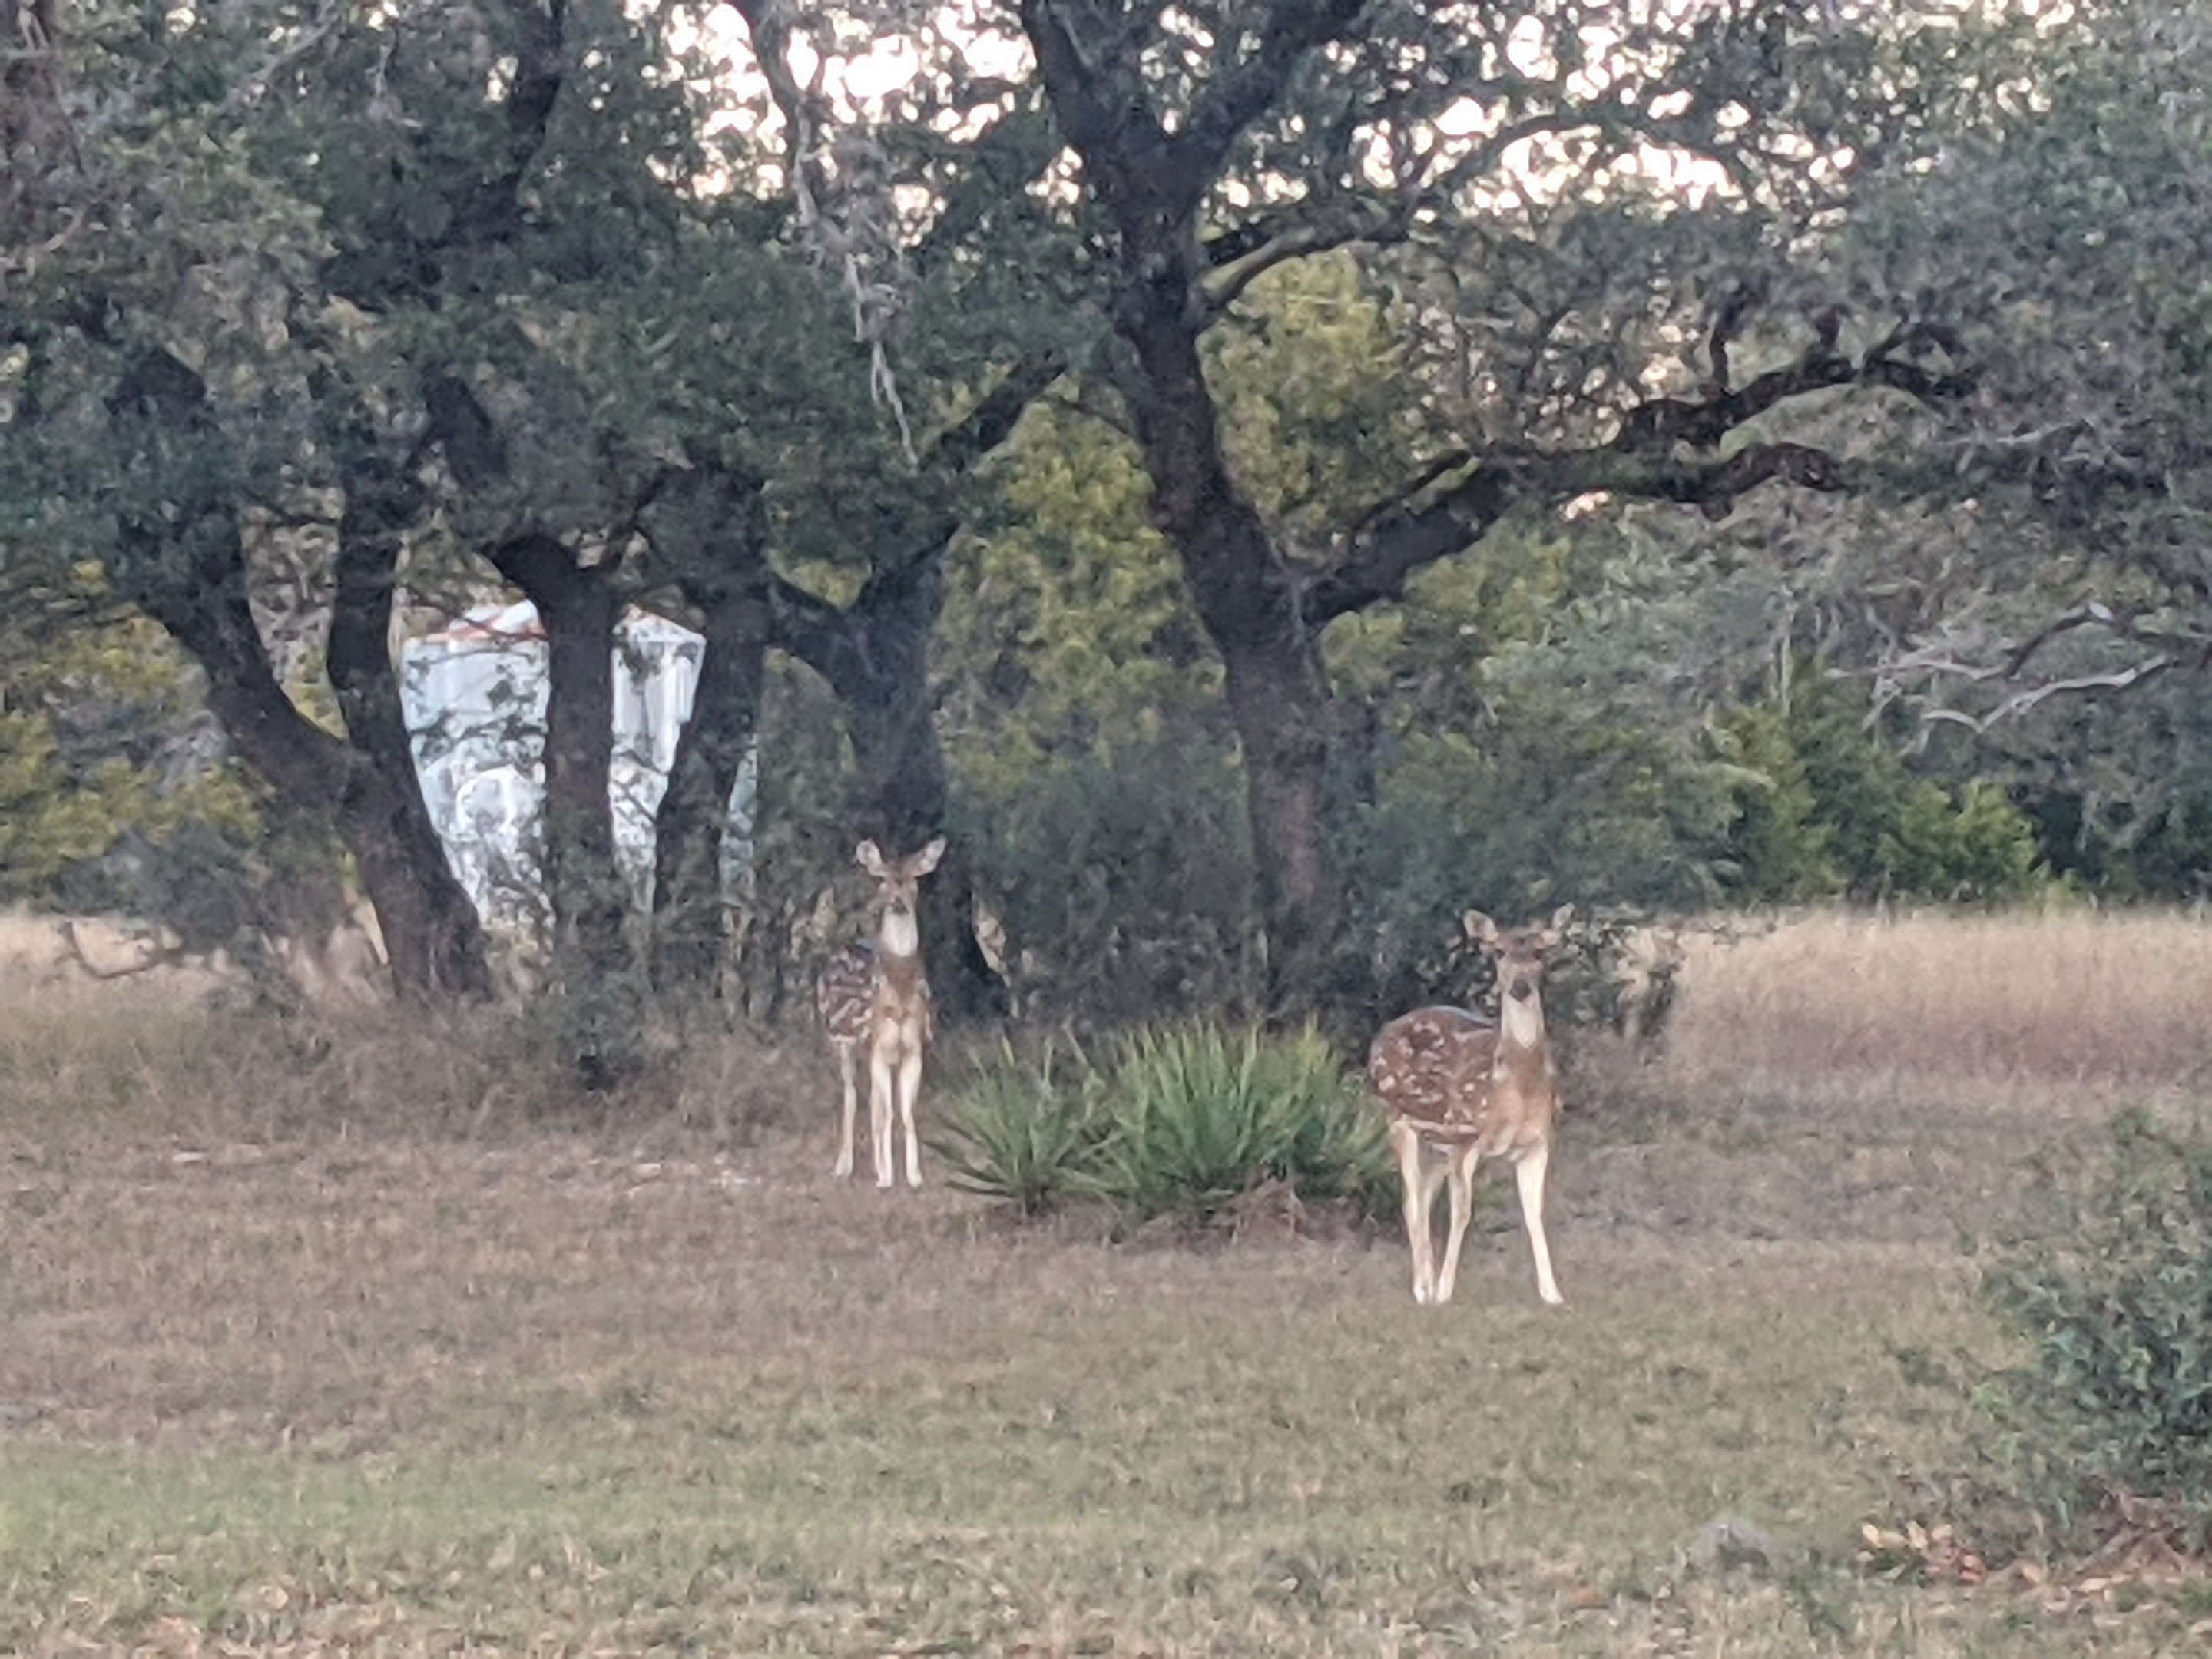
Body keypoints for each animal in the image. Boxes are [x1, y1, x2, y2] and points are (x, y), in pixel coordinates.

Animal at [815, 837, 946, 1188]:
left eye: (914, 880)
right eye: (883, 880)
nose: (897, 901)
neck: (898, 994)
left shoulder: (913, 1049)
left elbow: (906, 1112)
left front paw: (913, 1176)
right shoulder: (878, 1047)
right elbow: (885, 1111)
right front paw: (886, 1178)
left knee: (871, 1099)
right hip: (841, 1042)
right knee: (850, 1094)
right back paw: (844, 1166)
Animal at [1367, 905, 1574, 1308]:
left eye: (1540, 952)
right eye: (1498, 951)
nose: (1520, 987)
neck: (1516, 1092)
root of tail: (1379, 1037)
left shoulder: (1539, 1142)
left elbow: (1534, 1212)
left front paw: (1553, 1294)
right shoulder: (1466, 1136)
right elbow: (1462, 1212)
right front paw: (1445, 1291)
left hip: (1435, 1142)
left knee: (1424, 1197)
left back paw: (1425, 1281)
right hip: (1398, 1119)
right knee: (1411, 1200)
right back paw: (1423, 1288)